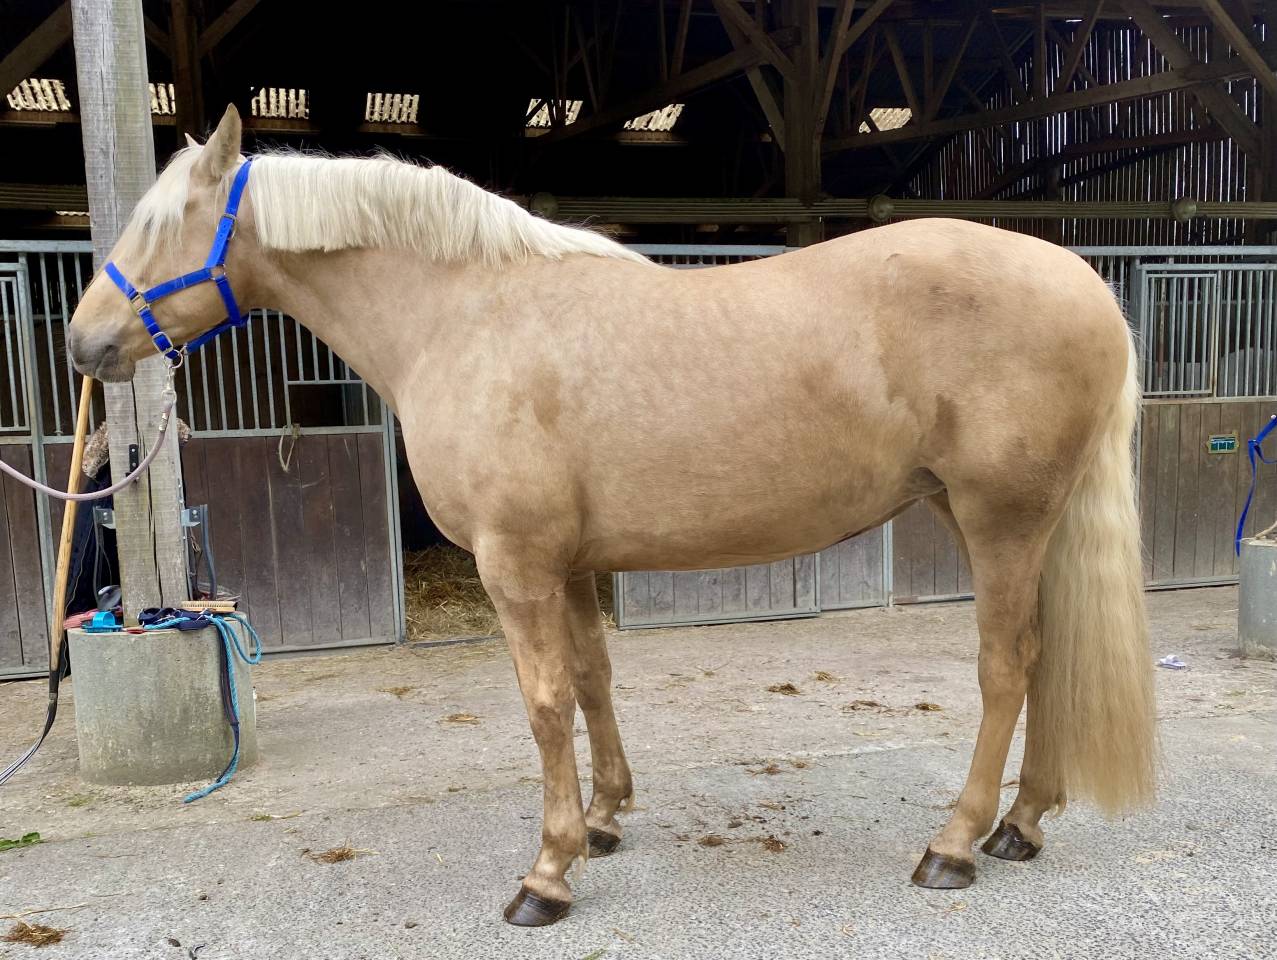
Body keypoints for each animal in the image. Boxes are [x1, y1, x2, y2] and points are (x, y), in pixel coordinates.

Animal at [68, 105, 1156, 926]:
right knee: (1046, 656)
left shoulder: (514, 565)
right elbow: (592, 682)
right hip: (1007, 521)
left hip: (1000, 518)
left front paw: (546, 874)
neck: (466, 317)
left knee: (1007, 667)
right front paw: (603, 820)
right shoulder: (571, 563)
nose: (84, 344)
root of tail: (1083, 283)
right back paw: (1020, 824)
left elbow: (544, 704)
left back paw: (954, 844)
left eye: (162, 222)